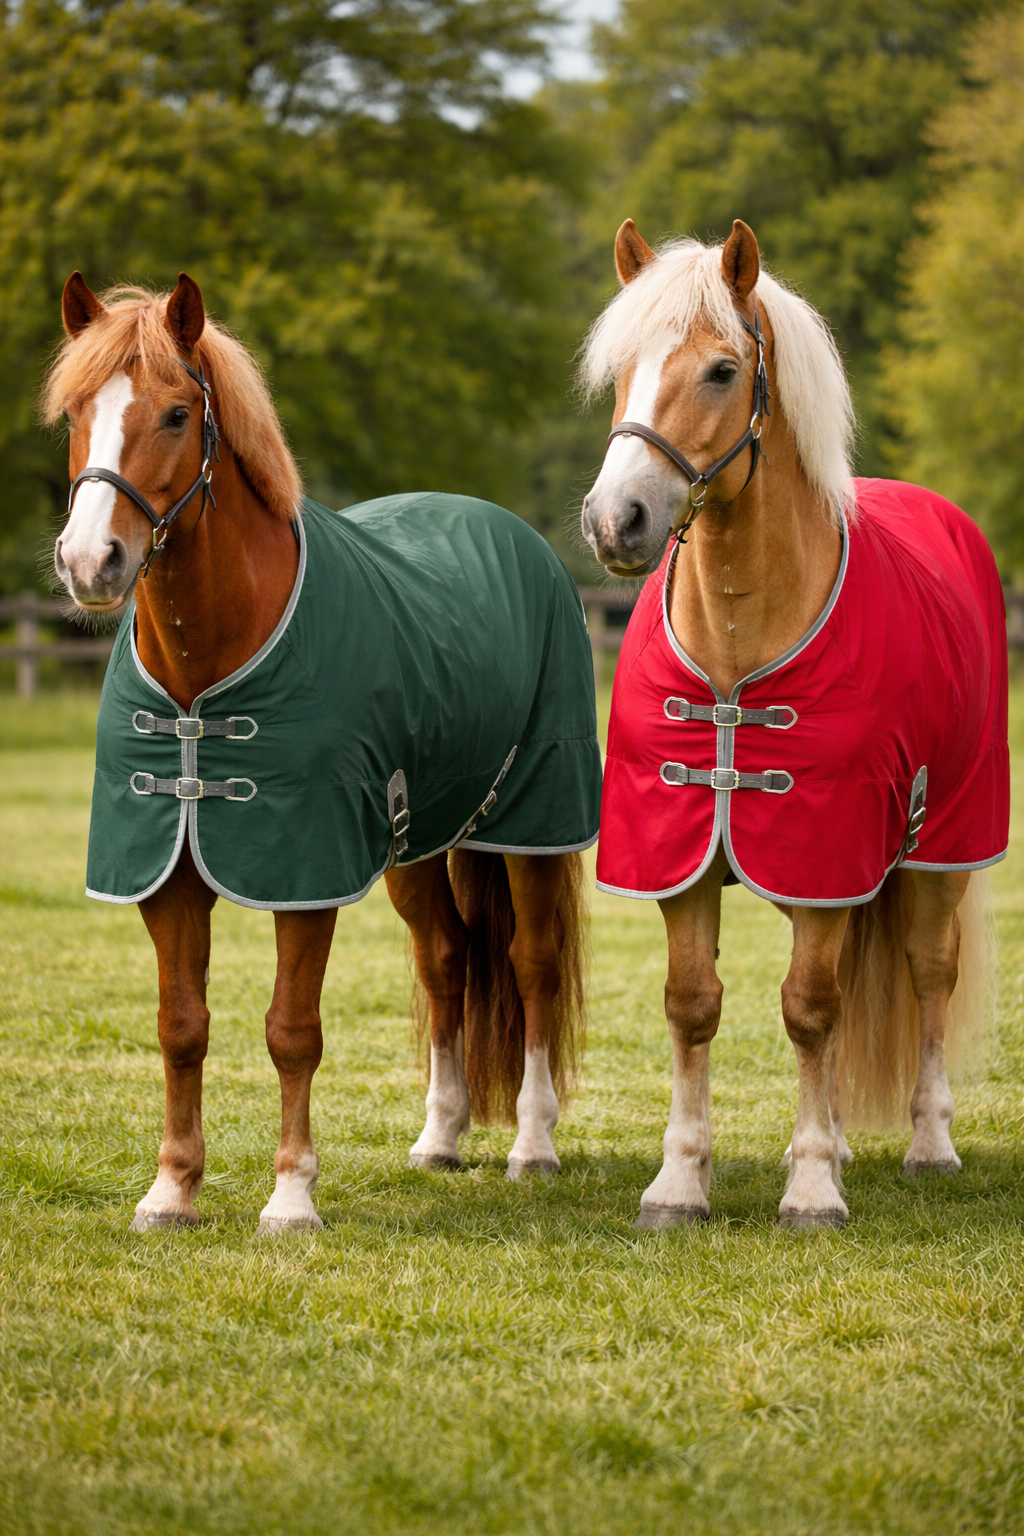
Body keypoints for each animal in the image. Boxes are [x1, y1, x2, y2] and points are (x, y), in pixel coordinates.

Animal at [47, 271, 601, 1234]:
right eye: (78, 409)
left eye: (175, 414)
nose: (90, 561)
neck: (205, 674)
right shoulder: (166, 873)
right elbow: (180, 1026)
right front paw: (171, 1189)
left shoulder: (304, 874)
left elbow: (290, 1030)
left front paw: (292, 1194)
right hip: (416, 840)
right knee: (446, 958)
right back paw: (440, 1136)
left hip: (533, 824)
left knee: (530, 967)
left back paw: (532, 1145)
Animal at [580, 218, 1007, 1228]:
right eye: (620, 369)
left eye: (722, 371)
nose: (616, 521)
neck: (739, 644)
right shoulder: (688, 861)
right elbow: (694, 1003)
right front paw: (680, 1182)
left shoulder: (825, 852)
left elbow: (809, 1009)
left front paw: (811, 1186)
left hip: (937, 857)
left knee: (927, 976)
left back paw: (928, 1144)